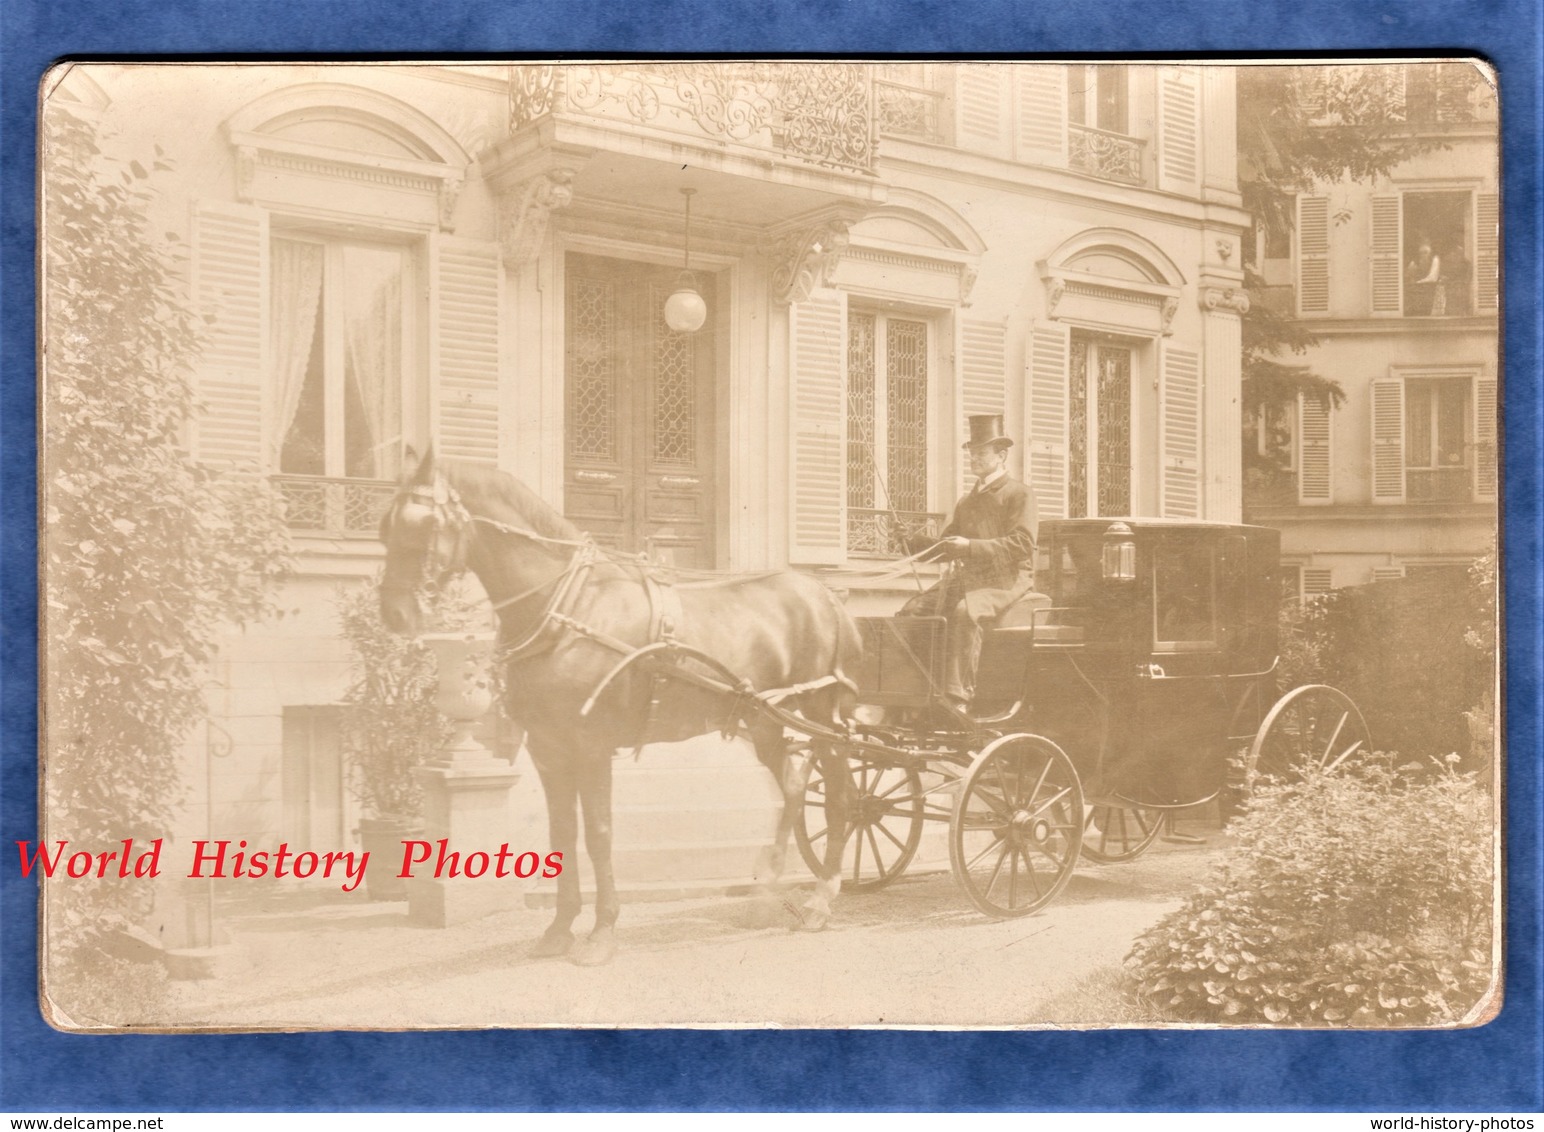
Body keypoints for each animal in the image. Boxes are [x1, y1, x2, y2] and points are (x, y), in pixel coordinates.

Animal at [373, 447, 858, 963]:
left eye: (424, 524)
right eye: (385, 526)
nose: (395, 614)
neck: (568, 611)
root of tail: (825, 594)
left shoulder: (592, 747)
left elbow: (599, 833)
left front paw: (602, 930)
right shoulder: (548, 750)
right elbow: (562, 833)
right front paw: (560, 928)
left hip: (821, 715)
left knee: (840, 794)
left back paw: (821, 899)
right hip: (762, 718)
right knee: (793, 785)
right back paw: (766, 891)